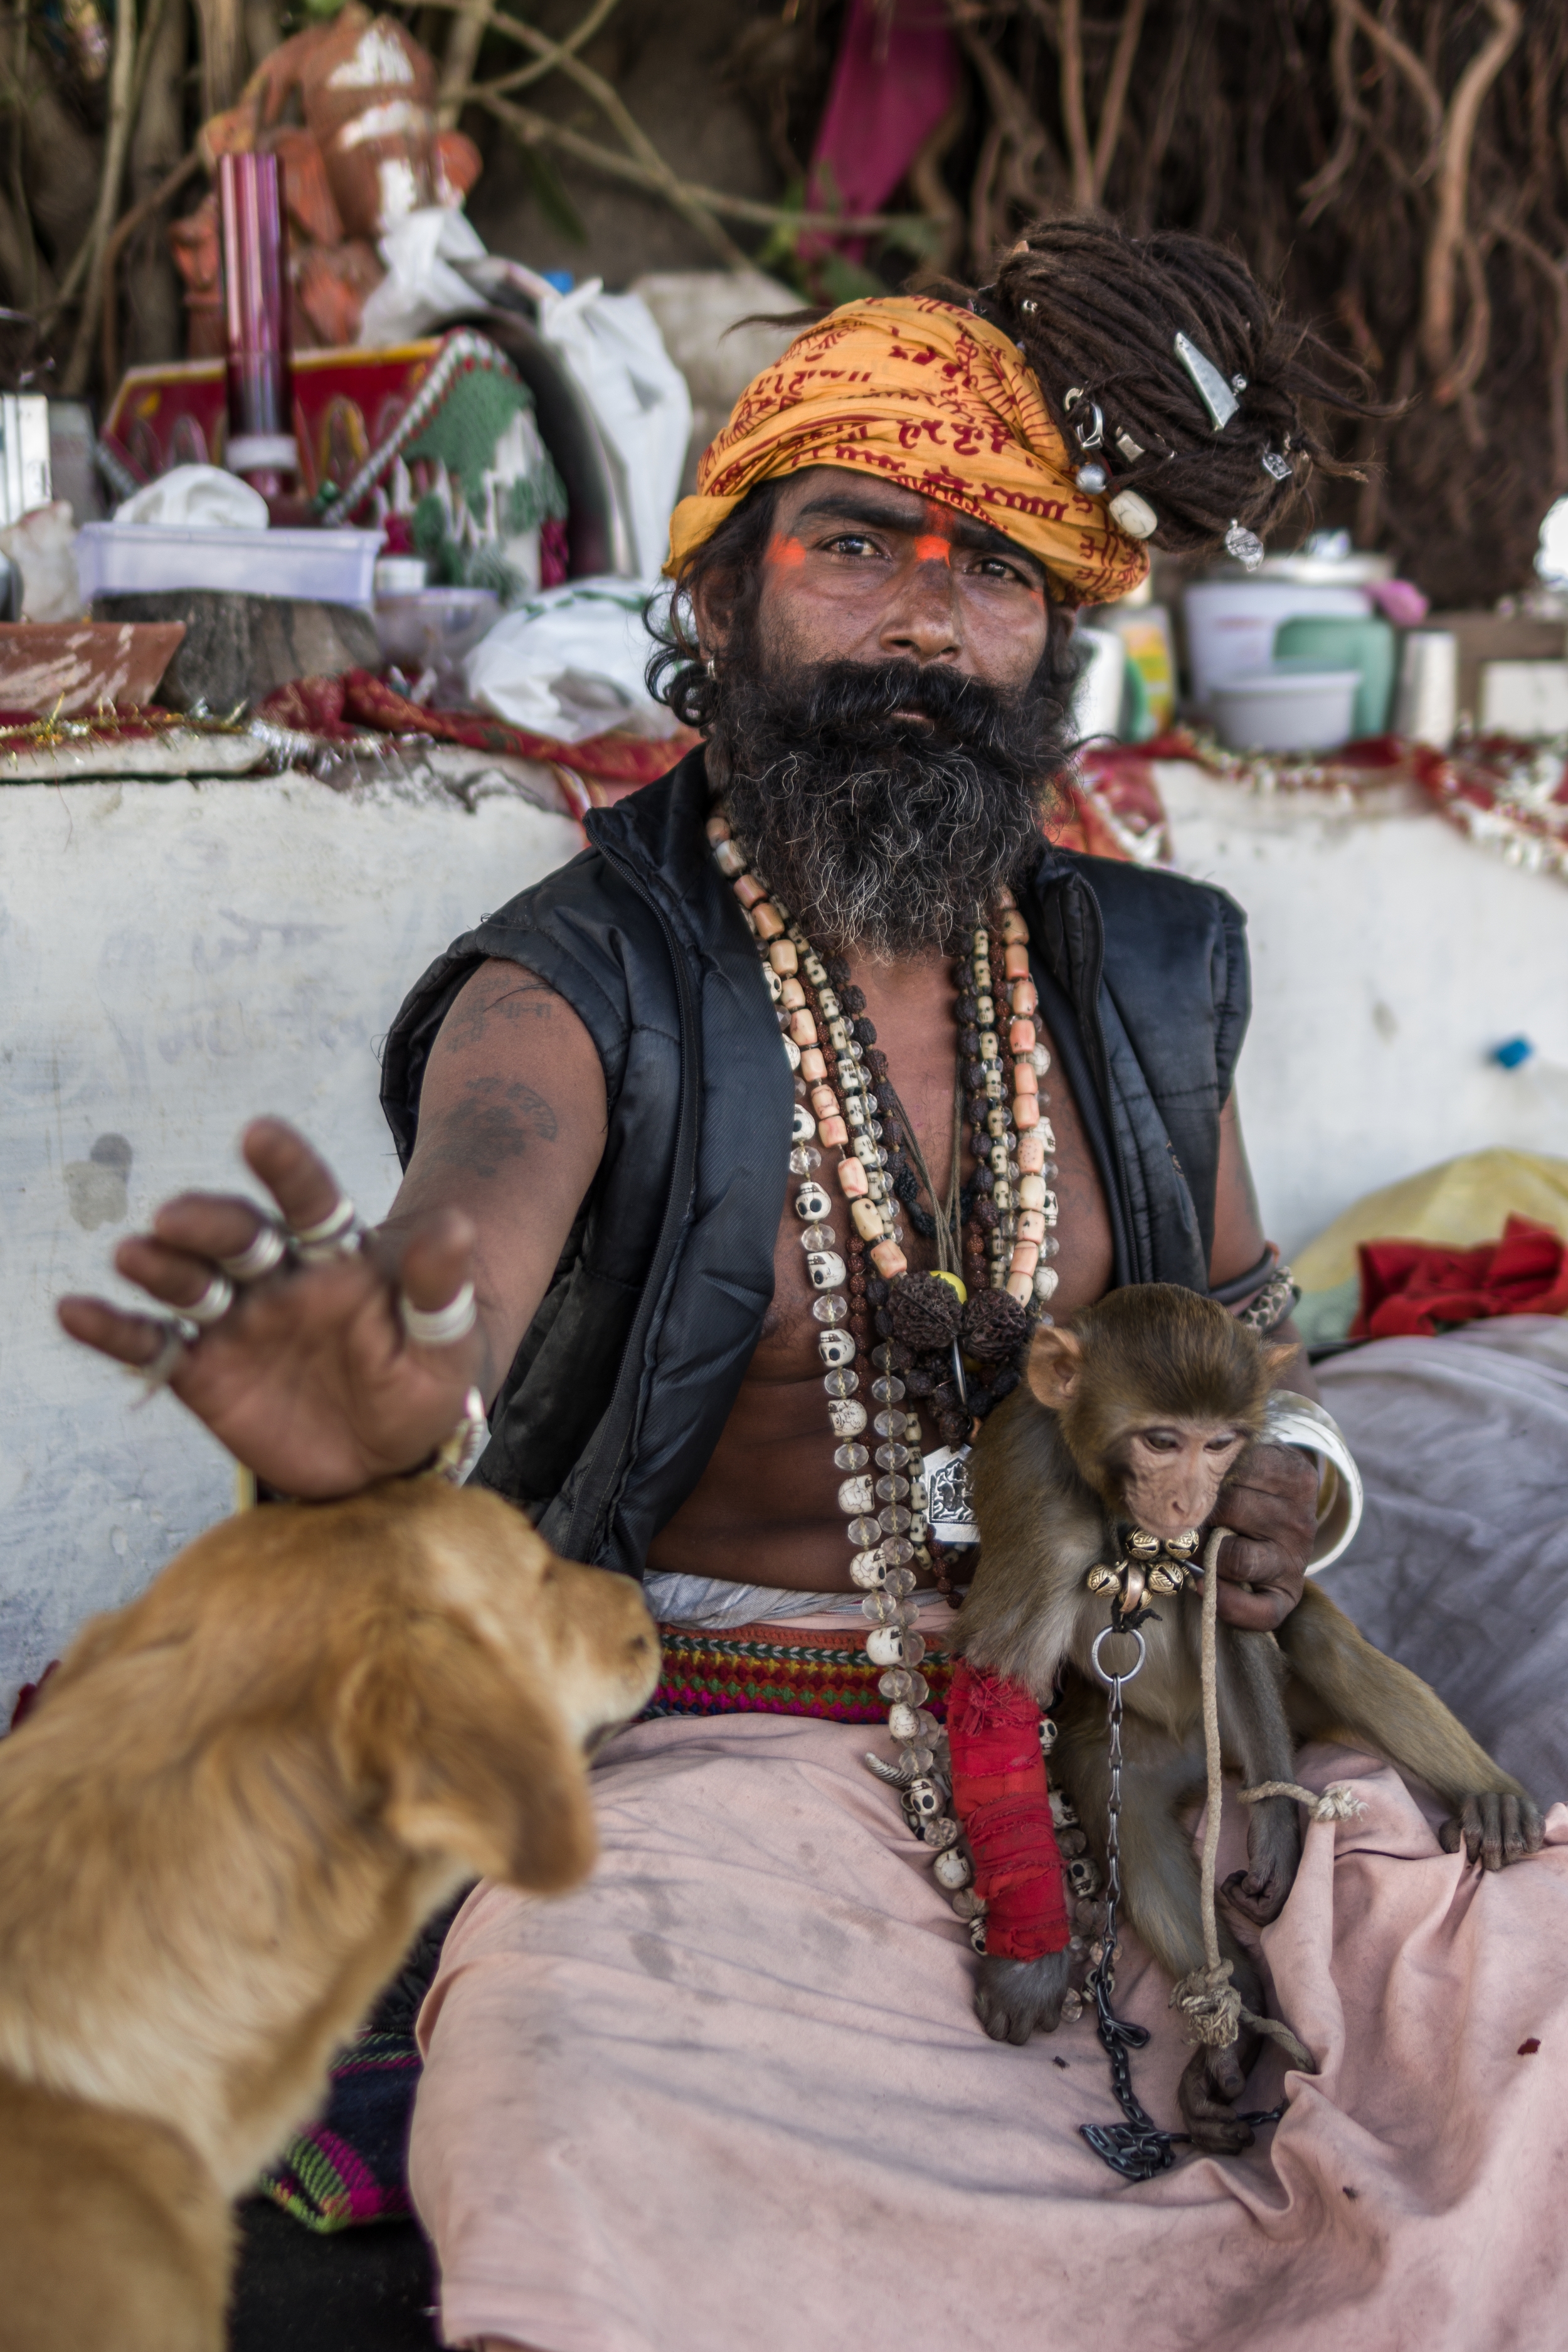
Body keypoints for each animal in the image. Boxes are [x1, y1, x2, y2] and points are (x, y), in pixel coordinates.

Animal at [959, 1289, 1542, 2154]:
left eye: (1220, 1444)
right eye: (1161, 1440)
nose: (1186, 1499)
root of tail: (1206, 1764)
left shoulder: (1236, 1505)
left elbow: (1234, 1615)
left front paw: (1275, 1845)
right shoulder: (1034, 1491)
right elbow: (998, 1679)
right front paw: (1028, 1956)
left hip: (1271, 1723)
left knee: (1314, 1639)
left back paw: (1487, 1799)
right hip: (1144, 1752)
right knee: (1123, 1810)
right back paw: (1232, 2038)